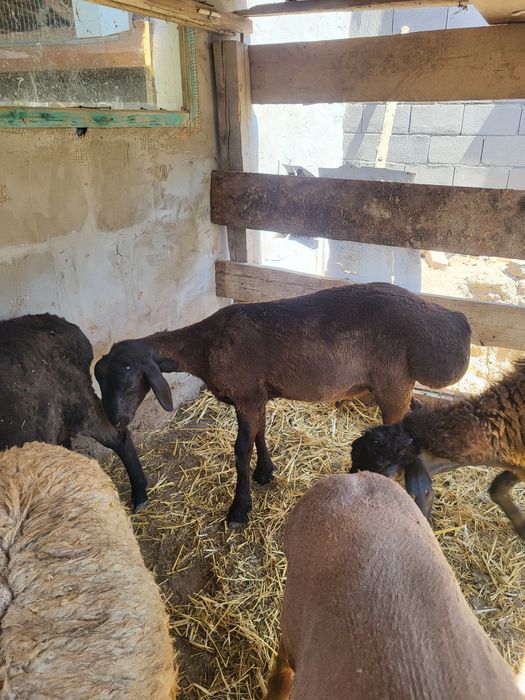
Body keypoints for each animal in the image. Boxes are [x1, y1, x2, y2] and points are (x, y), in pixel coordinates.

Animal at [94, 283, 471, 527]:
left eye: (129, 381)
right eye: (100, 380)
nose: (116, 421)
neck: (204, 346)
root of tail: (456, 322)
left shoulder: (246, 395)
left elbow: (241, 449)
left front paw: (239, 510)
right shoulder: (256, 396)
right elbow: (260, 434)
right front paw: (265, 473)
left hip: (393, 388)